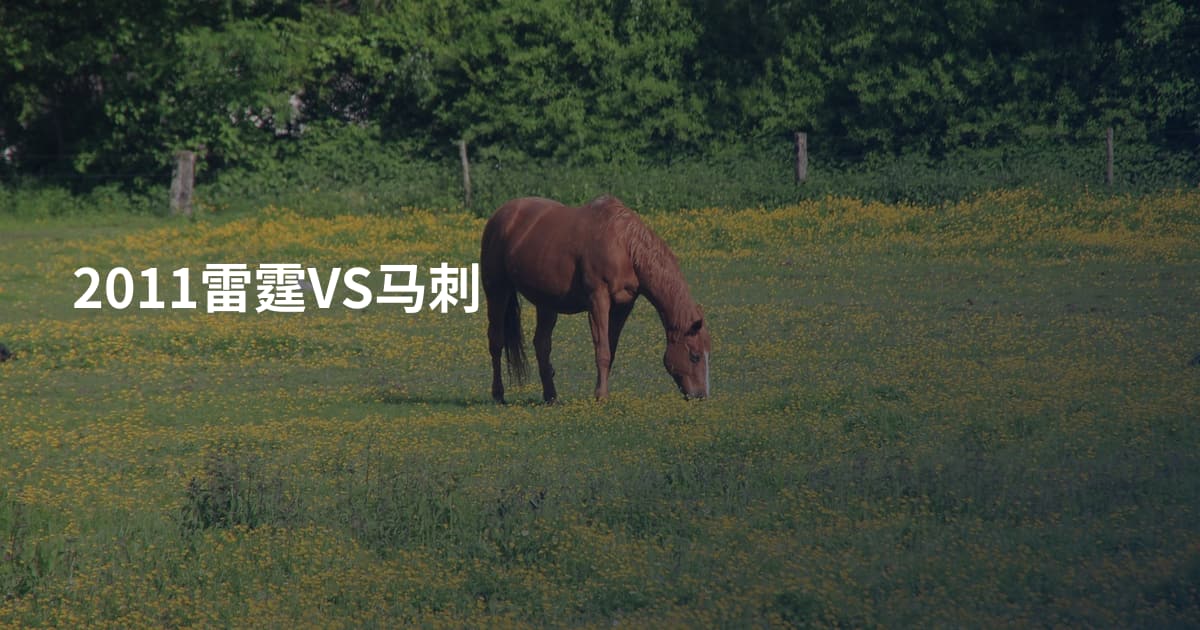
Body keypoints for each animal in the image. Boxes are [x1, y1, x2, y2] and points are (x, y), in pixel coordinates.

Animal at [480, 195, 711, 403]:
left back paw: (551, 396)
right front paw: (601, 396)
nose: (701, 395)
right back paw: (498, 395)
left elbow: (611, 349)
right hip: (497, 291)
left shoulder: (623, 306)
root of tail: (500, 215)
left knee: (541, 344)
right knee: (496, 341)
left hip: (546, 302)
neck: (623, 245)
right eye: (695, 356)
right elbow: (602, 351)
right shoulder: (598, 301)